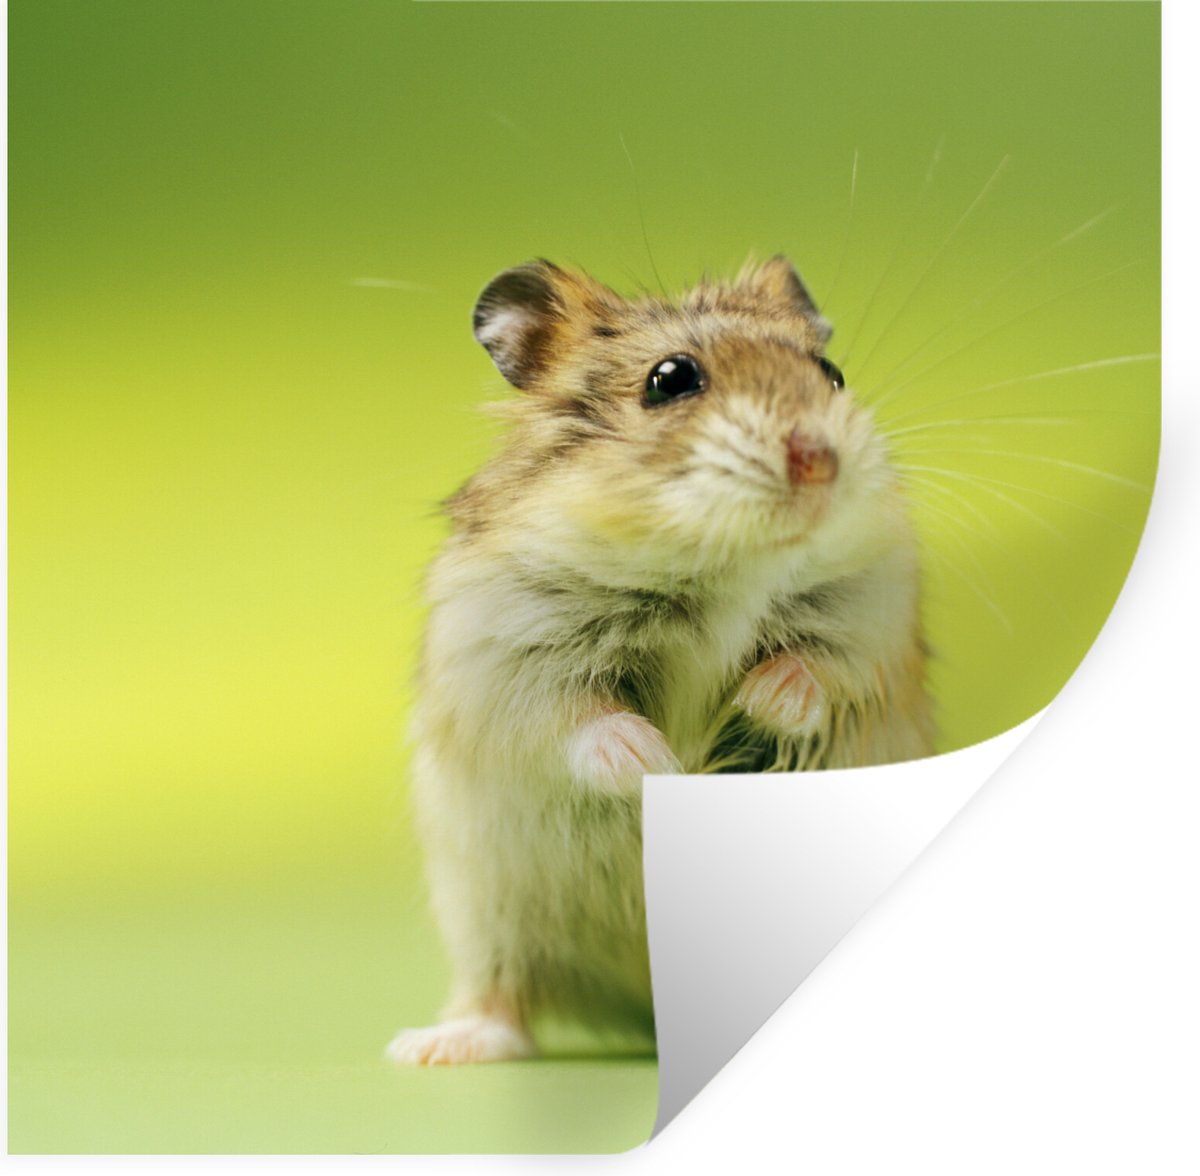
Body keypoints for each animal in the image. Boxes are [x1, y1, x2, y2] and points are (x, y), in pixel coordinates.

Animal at [386, 256, 934, 1065]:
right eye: (670, 379)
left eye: (831, 374)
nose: (820, 462)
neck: (722, 567)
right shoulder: (507, 658)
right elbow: (576, 719)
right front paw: (658, 762)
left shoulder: (871, 618)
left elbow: (819, 669)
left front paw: (759, 700)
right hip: (484, 911)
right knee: (501, 996)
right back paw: (434, 1049)